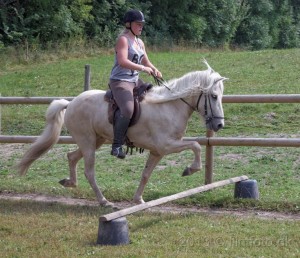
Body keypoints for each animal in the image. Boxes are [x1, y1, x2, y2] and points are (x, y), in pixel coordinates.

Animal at [16, 62, 226, 208]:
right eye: (214, 96)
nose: (219, 124)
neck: (169, 106)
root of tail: (71, 102)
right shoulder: (166, 145)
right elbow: (196, 145)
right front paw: (190, 169)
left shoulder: (157, 152)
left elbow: (146, 174)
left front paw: (138, 199)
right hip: (88, 142)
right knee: (89, 171)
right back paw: (104, 201)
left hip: (96, 140)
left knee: (72, 157)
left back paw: (69, 183)